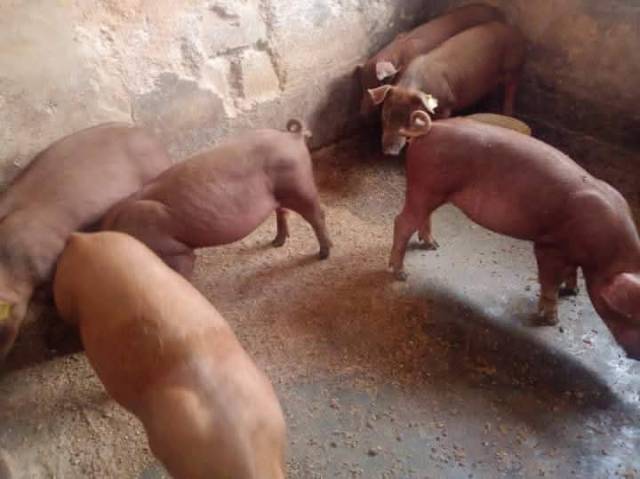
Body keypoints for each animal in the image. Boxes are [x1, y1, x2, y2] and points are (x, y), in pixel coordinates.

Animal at [100, 120, 332, 278]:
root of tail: (293, 136)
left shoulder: (175, 250)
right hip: (283, 192)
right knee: (283, 212)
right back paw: (276, 243)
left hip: (299, 185)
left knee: (317, 214)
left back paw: (323, 254)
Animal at [368, 21, 526, 155]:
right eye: (385, 114)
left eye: (410, 118)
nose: (390, 152)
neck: (409, 86)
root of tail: (514, 30)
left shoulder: (447, 106)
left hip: (514, 68)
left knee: (511, 90)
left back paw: (507, 112)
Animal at [388, 118, 640, 360]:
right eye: (631, 316)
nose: (636, 355)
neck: (605, 253)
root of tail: (430, 129)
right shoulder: (549, 245)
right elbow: (549, 281)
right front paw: (551, 320)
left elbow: (571, 271)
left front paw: (573, 291)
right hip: (425, 186)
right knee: (402, 222)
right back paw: (401, 274)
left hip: (432, 192)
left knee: (424, 217)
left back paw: (433, 245)